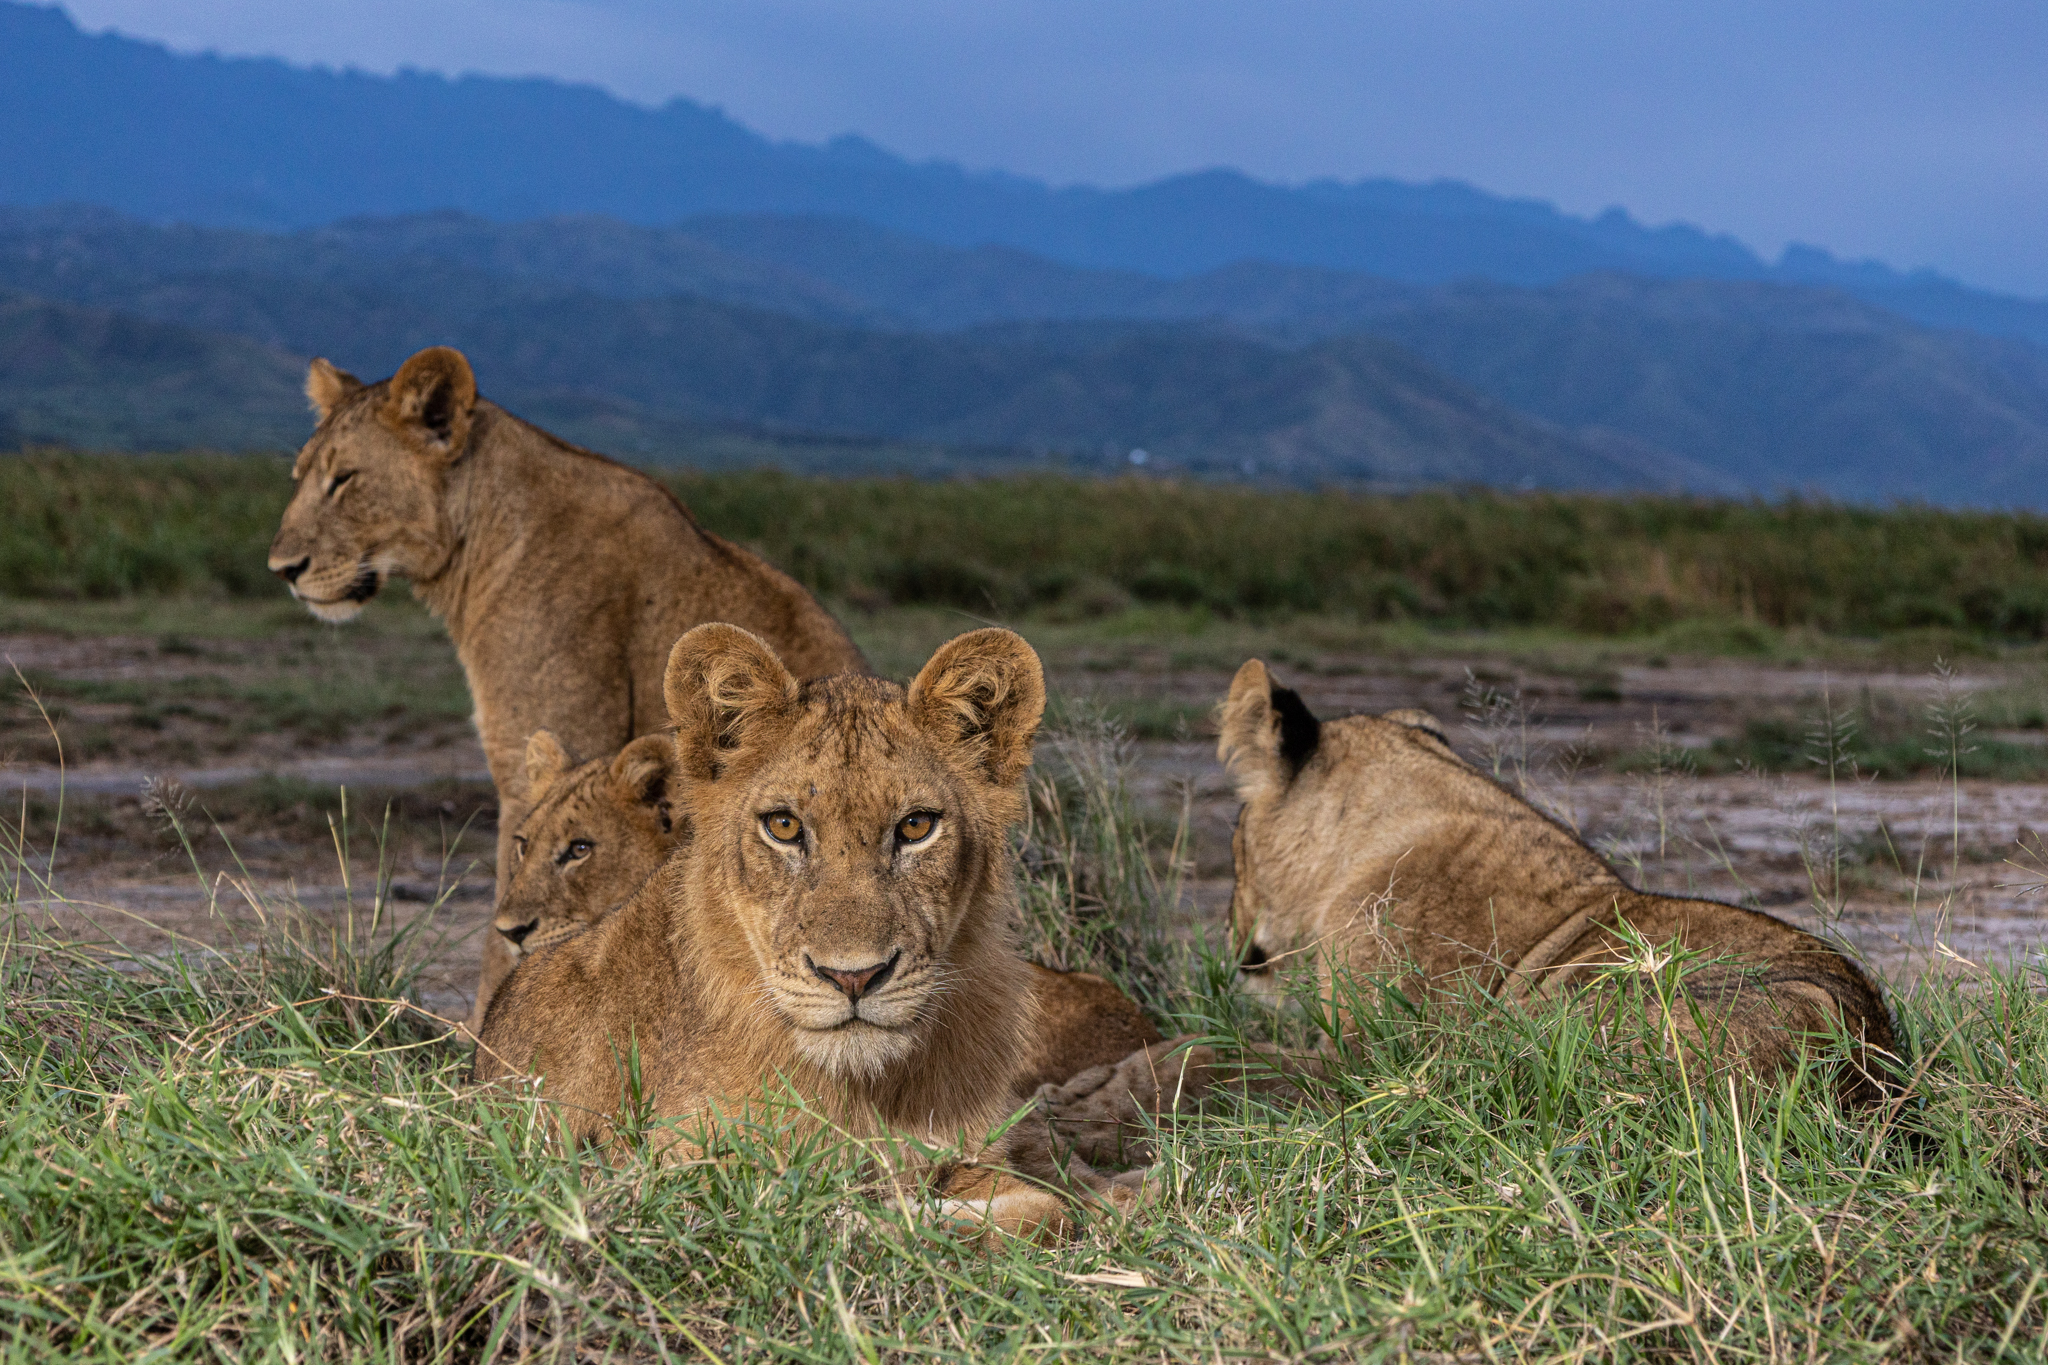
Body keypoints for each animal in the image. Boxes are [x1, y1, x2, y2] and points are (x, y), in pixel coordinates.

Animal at [264, 346, 867, 1027]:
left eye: (344, 479)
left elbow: (510, 927)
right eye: (300, 477)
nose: (282, 569)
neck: (479, 544)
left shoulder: (548, 748)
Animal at [1039, 659, 1898, 1163]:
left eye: (1234, 841)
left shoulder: (1373, 1059)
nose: (1227, 933)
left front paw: (1089, 1106)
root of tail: (1866, 1080)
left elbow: (1218, 1051)